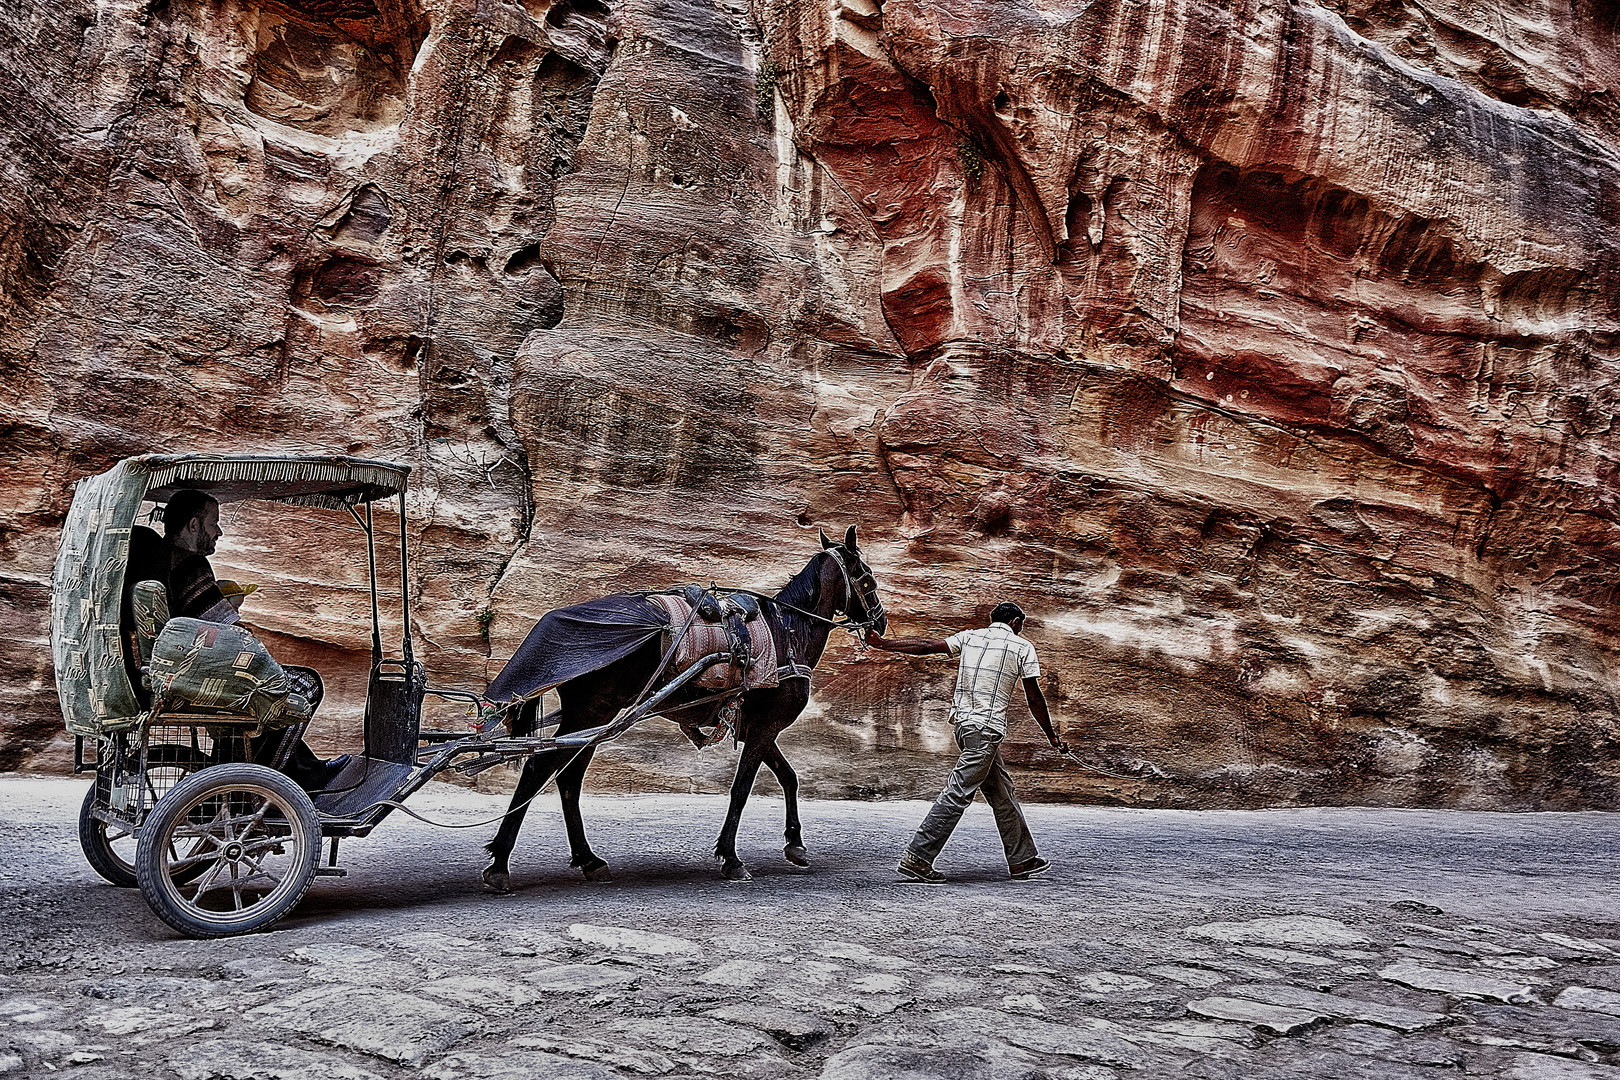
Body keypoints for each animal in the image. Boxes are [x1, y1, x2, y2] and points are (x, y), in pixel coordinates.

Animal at [479, 524, 887, 887]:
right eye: (867, 579)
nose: (880, 621)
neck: (788, 636)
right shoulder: (765, 726)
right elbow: (742, 789)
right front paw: (731, 858)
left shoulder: (757, 728)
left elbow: (789, 777)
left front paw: (795, 844)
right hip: (589, 713)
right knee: (541, 769)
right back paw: (502, 862)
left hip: (593, 717)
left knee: (567, 777)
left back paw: (587, 859)